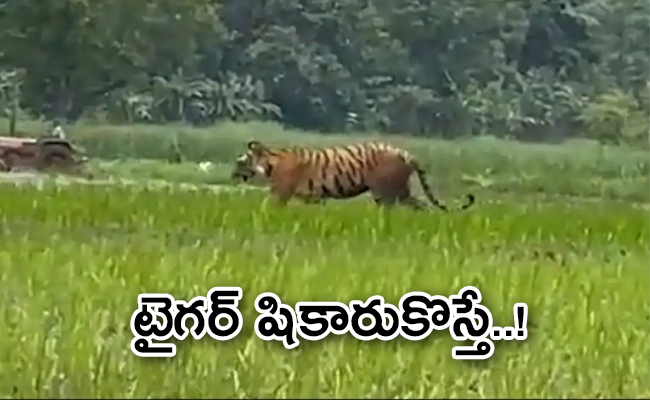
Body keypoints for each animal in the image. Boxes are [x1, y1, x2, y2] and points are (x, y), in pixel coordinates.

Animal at [231, 140, 475, 212]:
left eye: (239, 161)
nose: (232, 175)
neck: (269, 162)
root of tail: (406, 153)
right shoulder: (315, 198)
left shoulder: (280, 192)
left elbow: (268, 208)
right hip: (401, 190)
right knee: (421, 205)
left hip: (384, 191)